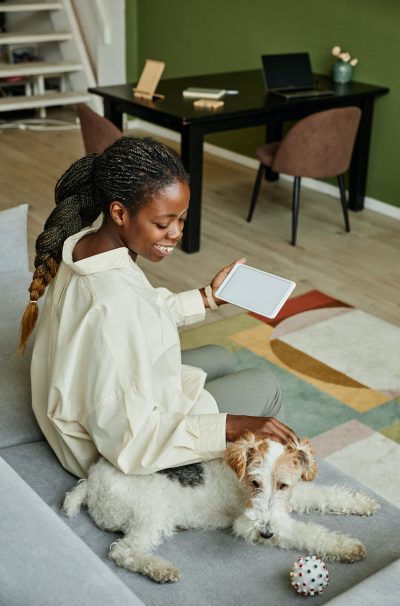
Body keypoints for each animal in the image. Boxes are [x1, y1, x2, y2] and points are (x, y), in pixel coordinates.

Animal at [61, 432, 378, 584]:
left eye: (283, 484)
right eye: (255, 482)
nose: (265, 533)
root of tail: (91, 481)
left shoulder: (293, 497)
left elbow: (326, 495)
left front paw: (363, 503)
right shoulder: (250, 521)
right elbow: (308, 533)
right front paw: (348, 547)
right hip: (152, 514)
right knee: (124, 551)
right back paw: (162, 569)